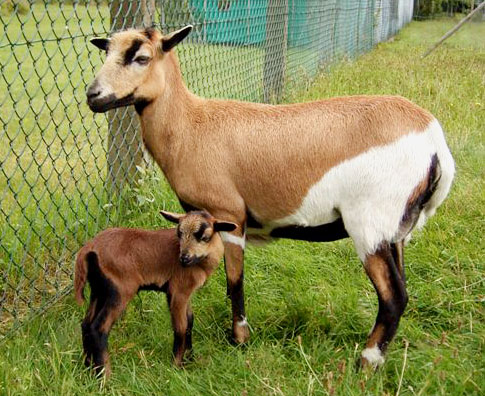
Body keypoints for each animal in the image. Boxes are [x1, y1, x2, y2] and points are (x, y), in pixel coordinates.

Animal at [73, 209, 236, 376]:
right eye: (179, 234)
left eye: (204, 237)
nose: (184, 258)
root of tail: (88, 249)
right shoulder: (178, 290)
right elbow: (181, 327)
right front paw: (176, 367)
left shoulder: (186, 292)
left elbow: (190, 322)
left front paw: (190, 359)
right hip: (120, 289)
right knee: (98, 328)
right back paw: (104, 375)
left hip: (98, 289)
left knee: (86, 324)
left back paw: (88, 367)